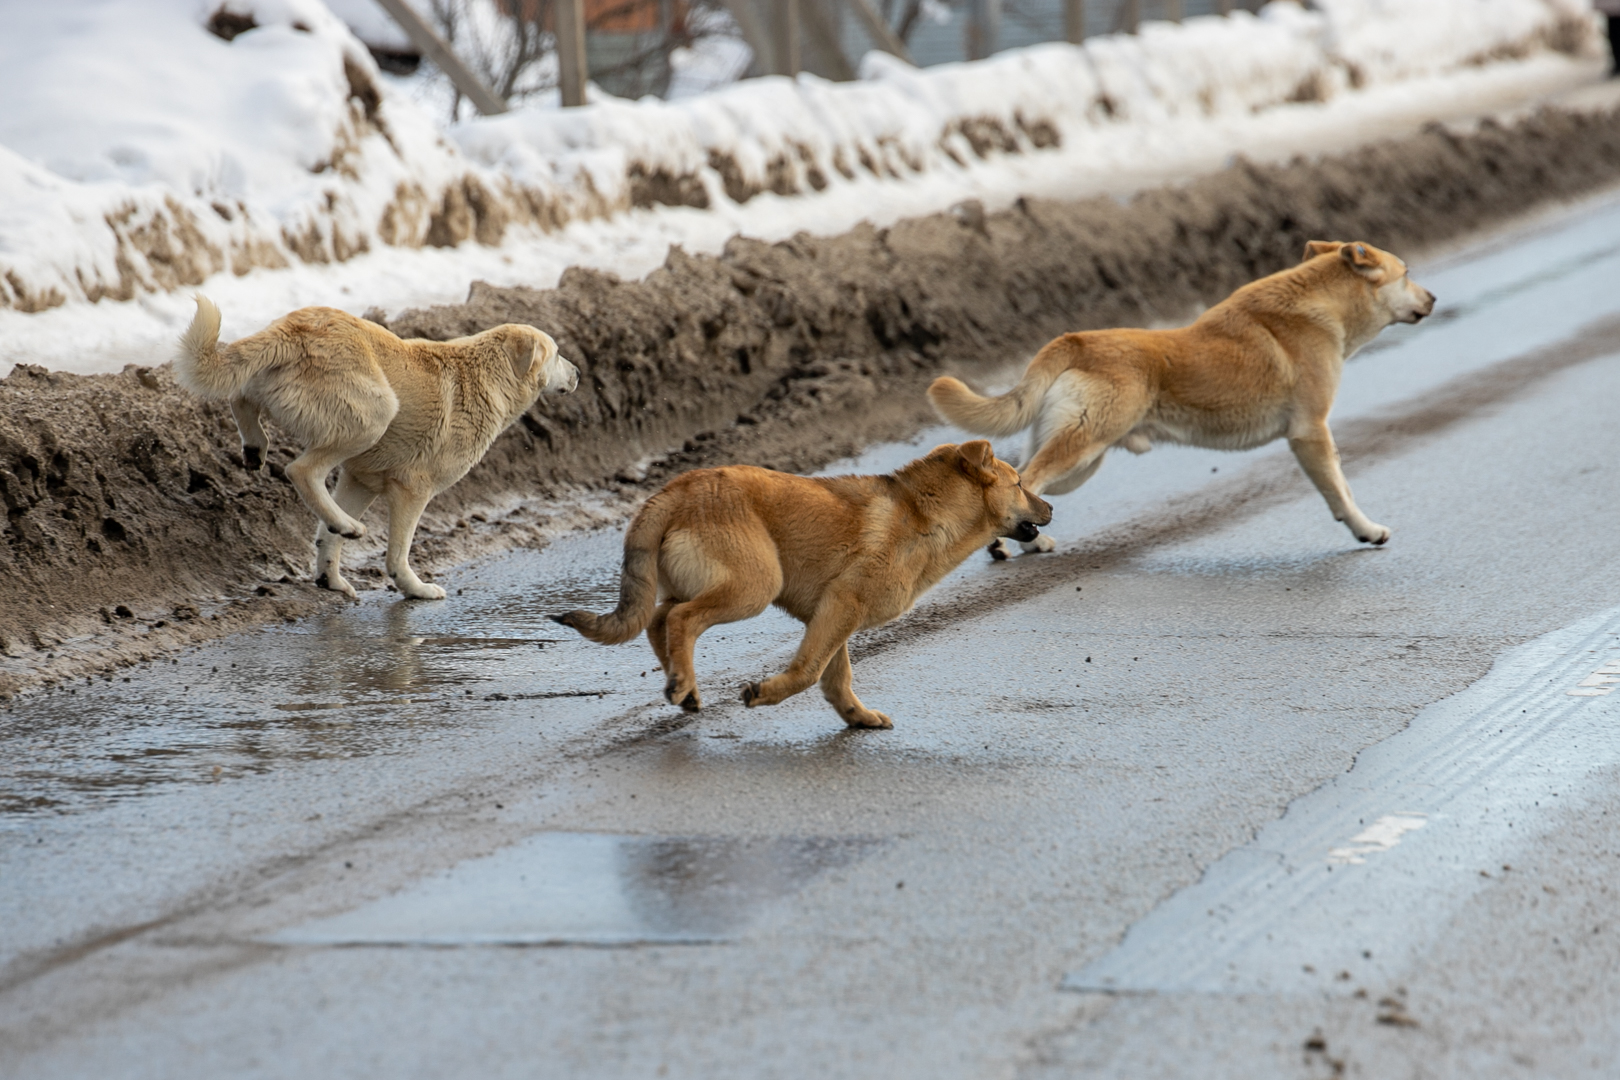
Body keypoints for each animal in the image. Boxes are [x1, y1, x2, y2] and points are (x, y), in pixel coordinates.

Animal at [174, 296, 579, 599]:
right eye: (558, 353)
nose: (578, 374)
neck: (488, 375)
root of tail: (292, 328)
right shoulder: (412, 488)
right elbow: (399, 553)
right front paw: (416, 589)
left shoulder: (361, 480)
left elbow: (327, 539)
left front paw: (329, 579)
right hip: (377, 413)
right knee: (300, 470)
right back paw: (348, 523)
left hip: (290, 395)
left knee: (241, 398)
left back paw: (258, 450)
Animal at [550, 443, 1049, 731]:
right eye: (1019, 483)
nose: (1050, 510)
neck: (921, 516)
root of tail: (674, 490)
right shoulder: (842, 605)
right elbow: (809, 671)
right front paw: (766, 694)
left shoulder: (833, 614)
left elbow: (836, 677)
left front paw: (857, 717)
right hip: (753, 585)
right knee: (679, 619)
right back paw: (683, 681)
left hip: (705, 582)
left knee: (658, 620)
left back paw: (683, 685)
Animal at [933, 241, 1438, 563]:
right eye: (1407, 273)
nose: (1433, 297)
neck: (1318, 308)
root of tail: (1074, 340)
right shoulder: (1310, 432)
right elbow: (1341, 491)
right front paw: (1365, 530)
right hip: (1082, 448)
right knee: (1027, 480)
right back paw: (1029, 546)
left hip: (1079, 460)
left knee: (1023, 479)